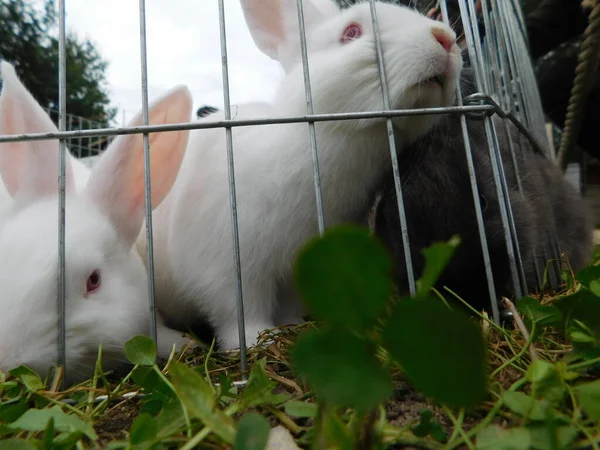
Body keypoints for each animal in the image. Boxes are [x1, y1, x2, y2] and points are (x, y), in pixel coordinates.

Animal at [139, 0, 464, 350]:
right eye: (351, 33)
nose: (445, 38)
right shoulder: (228, 267)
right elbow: (238, 311)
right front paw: (257, 340)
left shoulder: (298, 269)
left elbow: (289, 305)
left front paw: (294, 325)